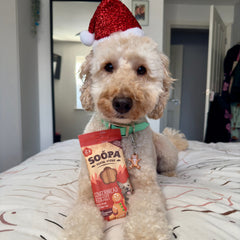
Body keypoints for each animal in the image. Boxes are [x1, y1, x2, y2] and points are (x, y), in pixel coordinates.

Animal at [64, 31, 188, 240]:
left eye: (141, 69)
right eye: (108, 67)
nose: (122, 103)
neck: (119, 131)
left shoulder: (147, 187)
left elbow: (147, 212)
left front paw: (145, 233)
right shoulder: (87, 193)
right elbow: (82, 219)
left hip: (166, 152)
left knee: (169, 167)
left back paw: (172, 174)